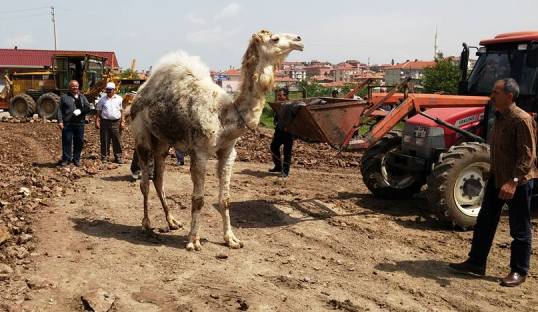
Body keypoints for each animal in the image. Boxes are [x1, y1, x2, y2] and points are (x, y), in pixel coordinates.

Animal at [129, 30, 302, 250]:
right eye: (275, 38)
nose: (299, 40)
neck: (224, 115)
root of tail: (137, 95)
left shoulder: (228, 151)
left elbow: (225, 199)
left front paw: (232, 239)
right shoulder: (200, 152)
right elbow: (198, 199)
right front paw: (193, 241)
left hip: (162, 142)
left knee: (158, 178)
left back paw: (173, 221)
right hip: (141, 135)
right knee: (145, 182)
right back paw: (147, 225)